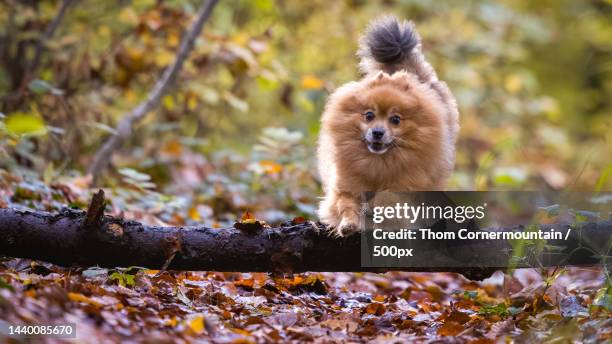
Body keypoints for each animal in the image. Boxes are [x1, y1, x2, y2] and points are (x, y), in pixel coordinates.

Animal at [318, 16, 456, 236]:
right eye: (369, 115)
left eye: (396, 119)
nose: (377, 132)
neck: (378, 162)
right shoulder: (346, 184)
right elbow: (345, 204)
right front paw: (348, 224)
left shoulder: (407, 185)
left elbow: (387, 198)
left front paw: (376, 212)